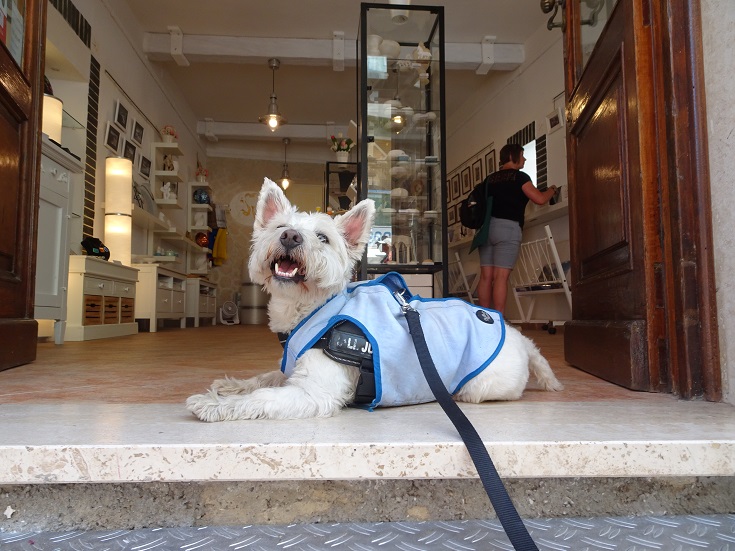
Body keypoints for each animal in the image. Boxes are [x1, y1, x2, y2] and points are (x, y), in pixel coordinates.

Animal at [188, 178, 564, 422]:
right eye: (280, 226)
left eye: (322, 237)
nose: (290, 236)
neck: (314, 310)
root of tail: (519, 338)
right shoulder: (293, 372)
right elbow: (263, 378)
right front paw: (229, 386)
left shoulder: (315, 393)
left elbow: (264, 396)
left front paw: (212, 404)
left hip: (482, 384)